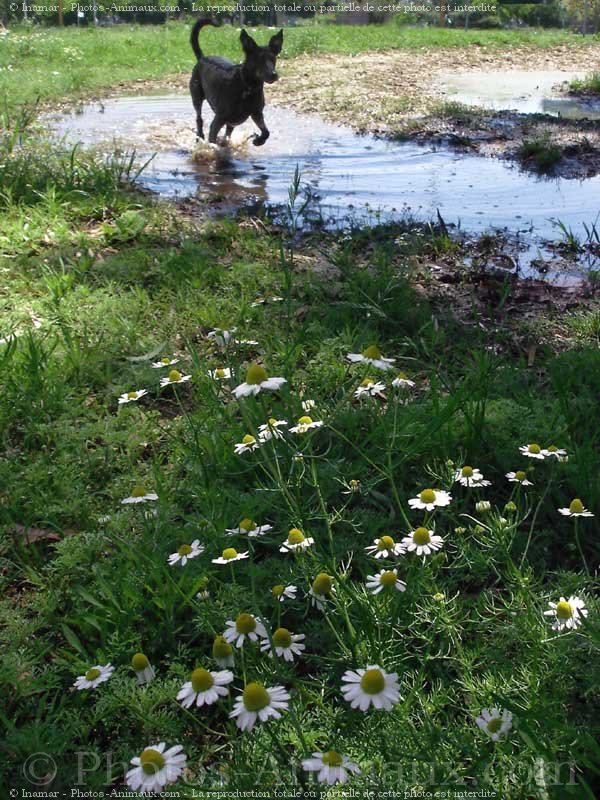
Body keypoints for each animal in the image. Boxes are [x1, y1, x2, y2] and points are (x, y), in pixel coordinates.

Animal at [190, 19, 284, 147]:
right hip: (196, 96)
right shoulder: (219, 119)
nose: (274, 74)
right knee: (199, 118)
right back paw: (200, 136)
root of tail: (202, 58)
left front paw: (258, 141)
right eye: (259, 59)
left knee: (228, 130)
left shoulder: (257, 113)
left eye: (273, 59)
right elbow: (212, 137)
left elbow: (266, 132)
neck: (247, 87)